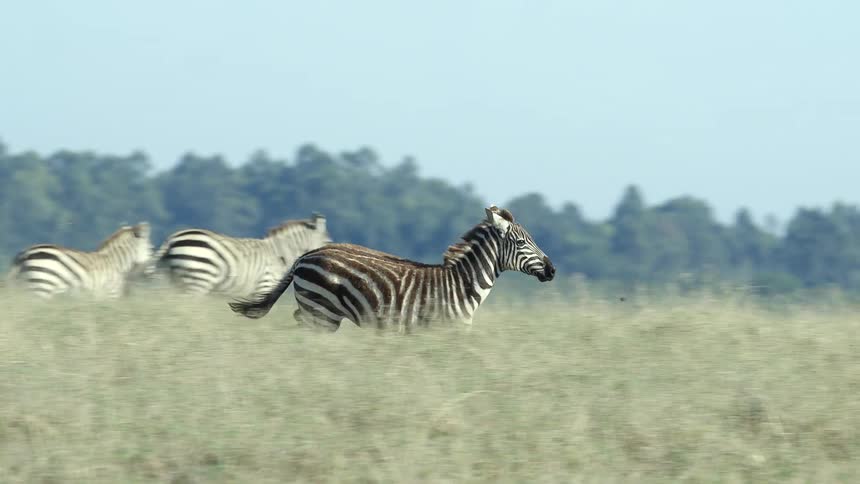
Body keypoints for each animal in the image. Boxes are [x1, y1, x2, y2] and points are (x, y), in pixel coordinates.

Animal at [6, 222, 154, 299]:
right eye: (151, 249)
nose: (152, 273)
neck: (116, 263)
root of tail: (24, 253)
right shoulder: (110, 294)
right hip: (42, 286)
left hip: (29, 286)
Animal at [152, 213, 332, 299]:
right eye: (328, 242)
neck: (279, 254)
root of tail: (171, 239)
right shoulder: (264, 286)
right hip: (198, 279)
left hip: (177, 281)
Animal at [228, 205, 555, 332]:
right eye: (522, 242)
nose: (552, 270)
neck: (460, 285)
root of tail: (308, 253)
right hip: (321, 311)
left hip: (316, 310)